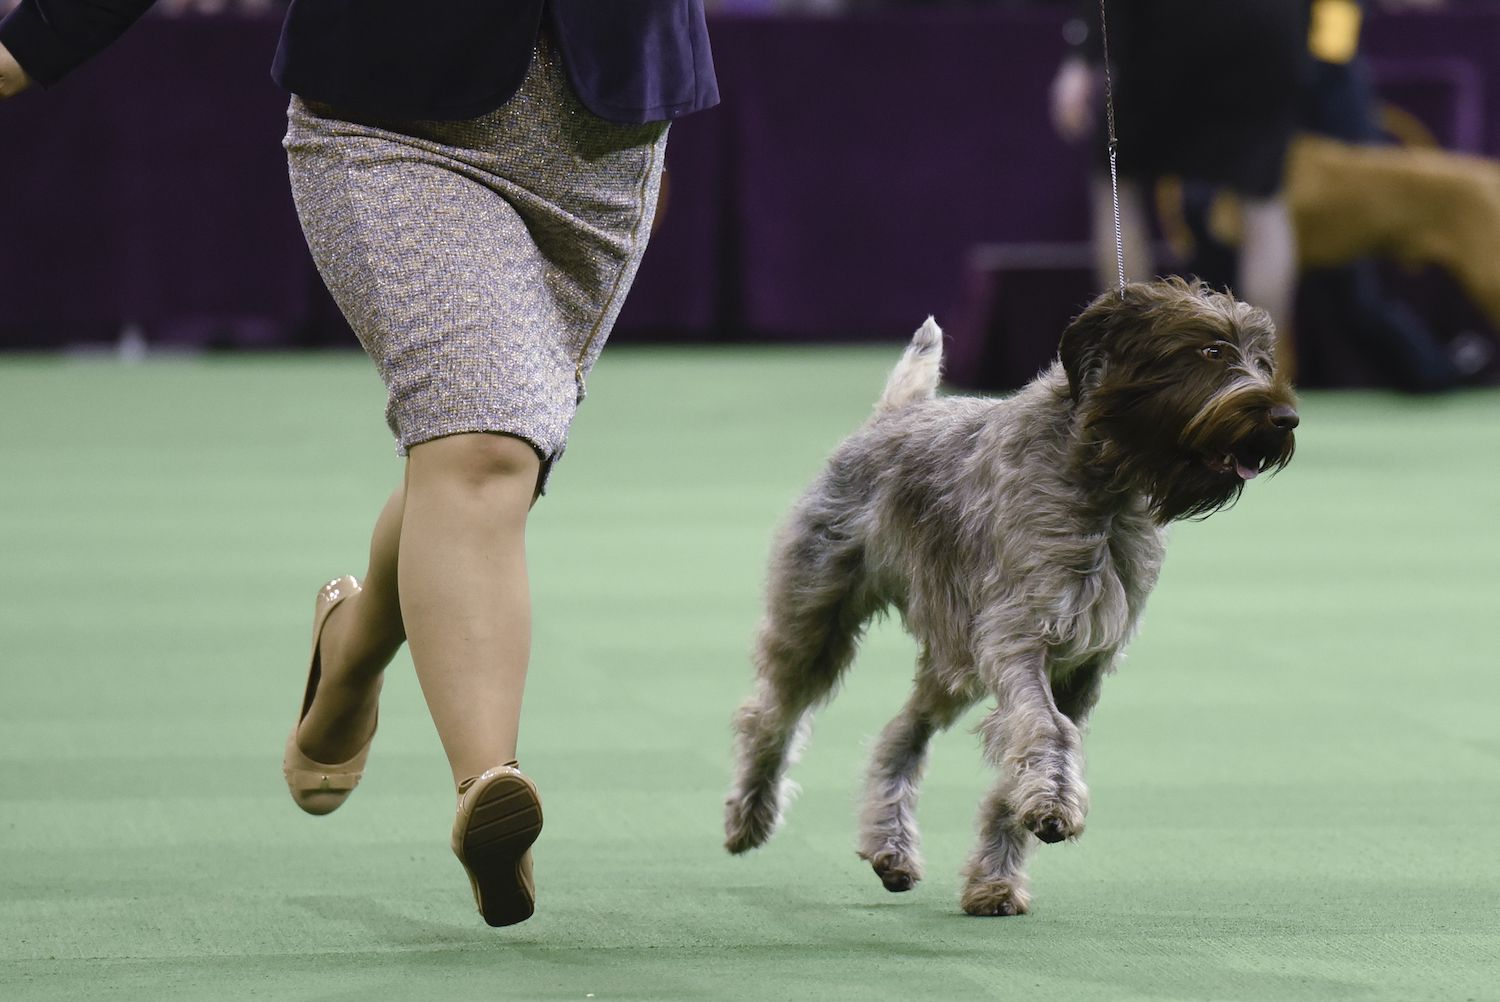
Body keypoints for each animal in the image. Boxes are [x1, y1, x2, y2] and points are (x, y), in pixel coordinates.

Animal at [720, 276, 1296, 918]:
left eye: (1263, 360)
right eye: (1210, 352)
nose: (1286, 418)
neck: (1105, 487)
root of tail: (896, 413)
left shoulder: (1081, 667)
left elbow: (1023, 764)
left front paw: (997, 877)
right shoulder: (1020, 640)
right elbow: (1047, 731)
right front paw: (1050, 805)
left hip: (953, 661)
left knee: (900, 733)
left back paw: (891, 846)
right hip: (819, 620)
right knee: (771, 716)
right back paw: (751, 817)